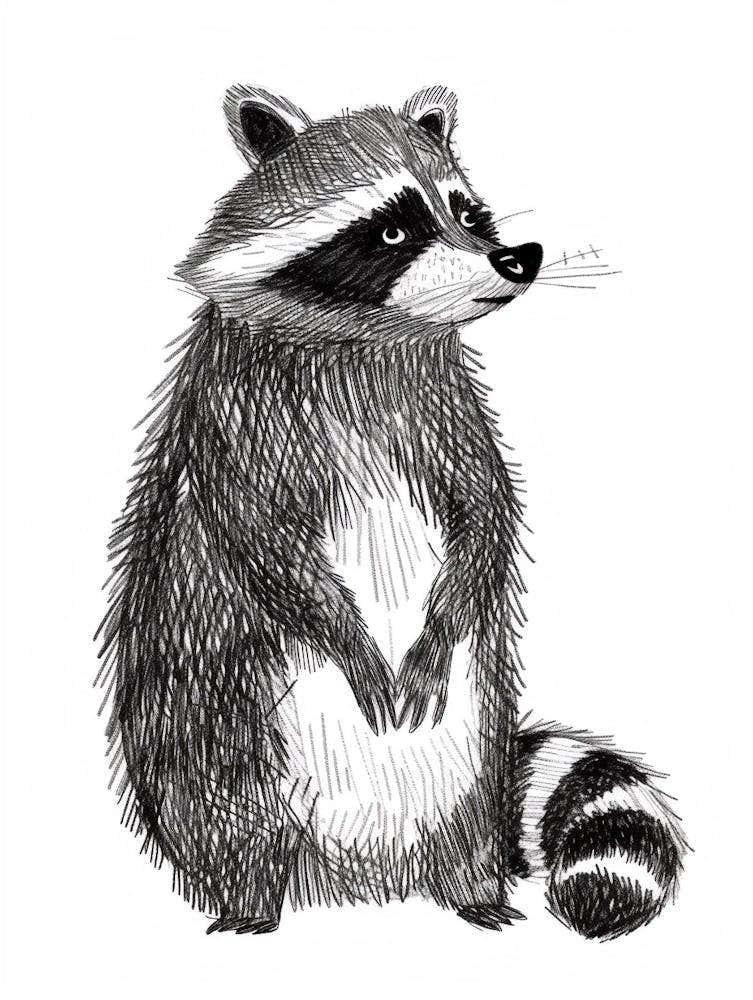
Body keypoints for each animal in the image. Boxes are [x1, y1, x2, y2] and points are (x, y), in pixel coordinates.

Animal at [97, 85, 686, 939]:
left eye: (468, 213)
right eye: (393, 228)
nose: (518, 257)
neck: (367, 338)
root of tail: (360, 879)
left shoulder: (447, 405)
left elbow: (484, 507)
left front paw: (440, 623)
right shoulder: (233, 412)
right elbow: (257, 531)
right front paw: (345, 632)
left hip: (477, 753)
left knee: (469, 814)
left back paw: (473, 891)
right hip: (216, 719)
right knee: (230, 809)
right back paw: (251, 901)